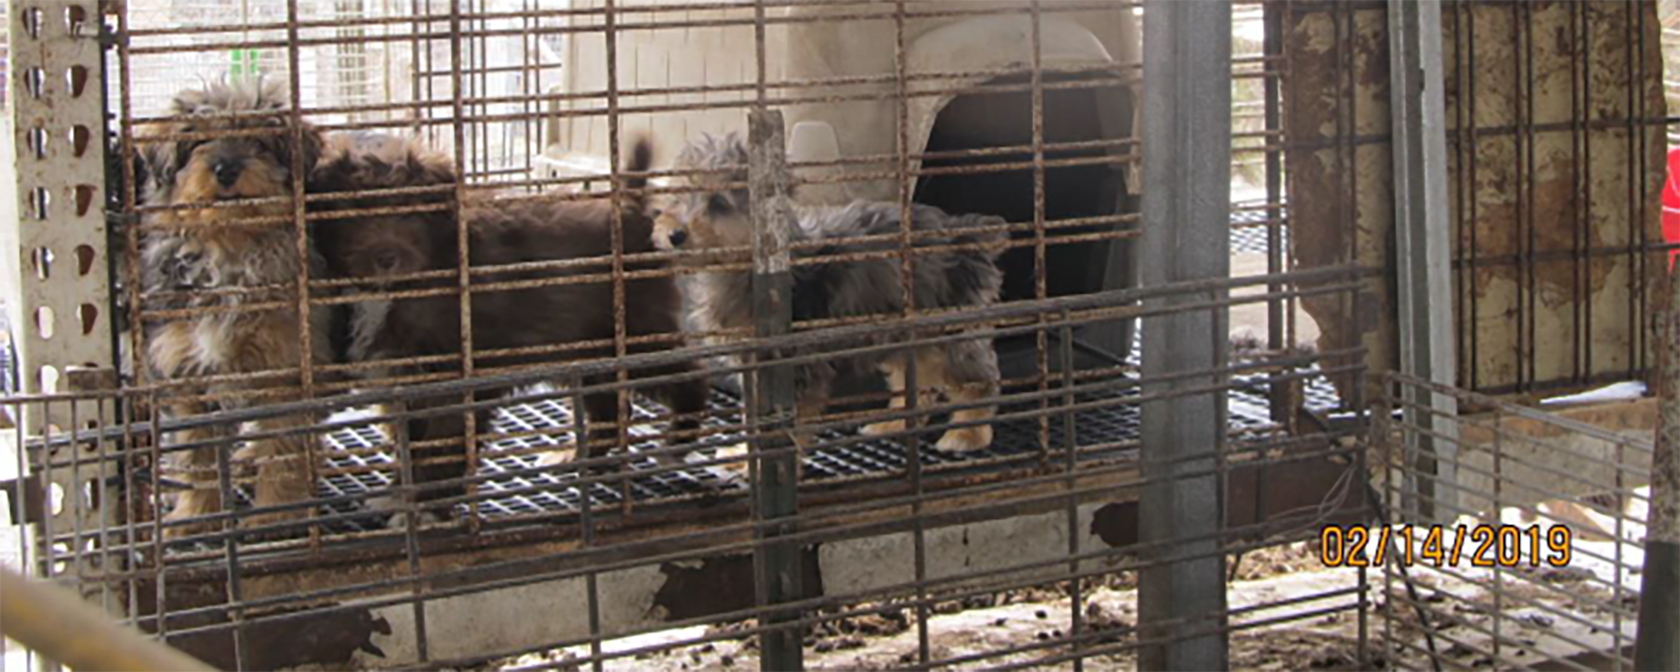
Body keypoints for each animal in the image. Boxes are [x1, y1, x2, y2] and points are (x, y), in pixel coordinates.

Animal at [134, 78, 334, 540]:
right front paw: (194, 516)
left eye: (259, 141)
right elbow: (198, 458)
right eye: (197, 143)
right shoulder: (185, 375)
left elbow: (284, 450)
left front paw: (275, 515)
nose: (225, 169)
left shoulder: (285, 370)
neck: (229, 252)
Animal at [310, 131, 708, 520]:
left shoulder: (457, 381)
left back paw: (678, 440)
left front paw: (425, 510)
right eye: (350, 211)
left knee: (686, 376)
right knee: (609, 411)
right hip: (586, 350)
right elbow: (408, 442)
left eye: (411, 211)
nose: (386, 257)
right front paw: (398, 495)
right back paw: (577, 458)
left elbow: (443, 446)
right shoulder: (404, 379)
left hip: (636, 334)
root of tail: (628, 204)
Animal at [648, 131, 1001, 456]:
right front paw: (744, 455)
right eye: (677, 197)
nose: (674, 235)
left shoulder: (793, 367)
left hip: (948, 328)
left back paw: (968, 433)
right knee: (916, 381)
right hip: (903, 332)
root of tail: (961, 233)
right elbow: (756, 419)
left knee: (978, 380)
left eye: (719, 204)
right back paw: (894, 422)